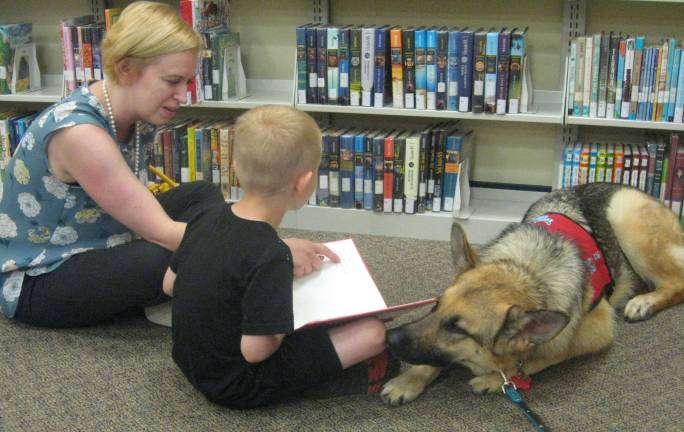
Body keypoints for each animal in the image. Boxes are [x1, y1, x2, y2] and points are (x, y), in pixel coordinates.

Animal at [382, 184, 680, 406]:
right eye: (435, 306)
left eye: (457, 329)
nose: (388, 337)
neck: (527, 272)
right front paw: (410, 380)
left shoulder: (595, 331)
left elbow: (540, 357)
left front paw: (496, 378)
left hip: (625, 218)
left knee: (678, 283)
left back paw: (644, 302)